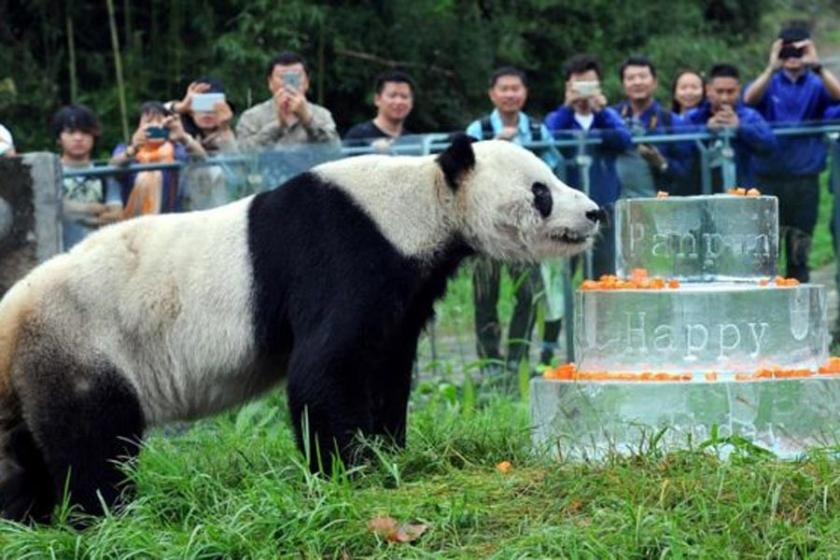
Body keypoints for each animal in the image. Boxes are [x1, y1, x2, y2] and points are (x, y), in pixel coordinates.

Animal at [0, 135, 596, 520]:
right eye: (541, 190)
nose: (592, 214)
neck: (423, 201)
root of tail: (10, 316)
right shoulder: (343, 249)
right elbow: (327, 365)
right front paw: (348, 470)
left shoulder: (403, 285)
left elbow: (387, 363)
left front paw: (389, 451)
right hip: (81, 342)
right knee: (93, 438)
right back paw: (108, 513)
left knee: (22, 453)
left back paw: (30, 518)